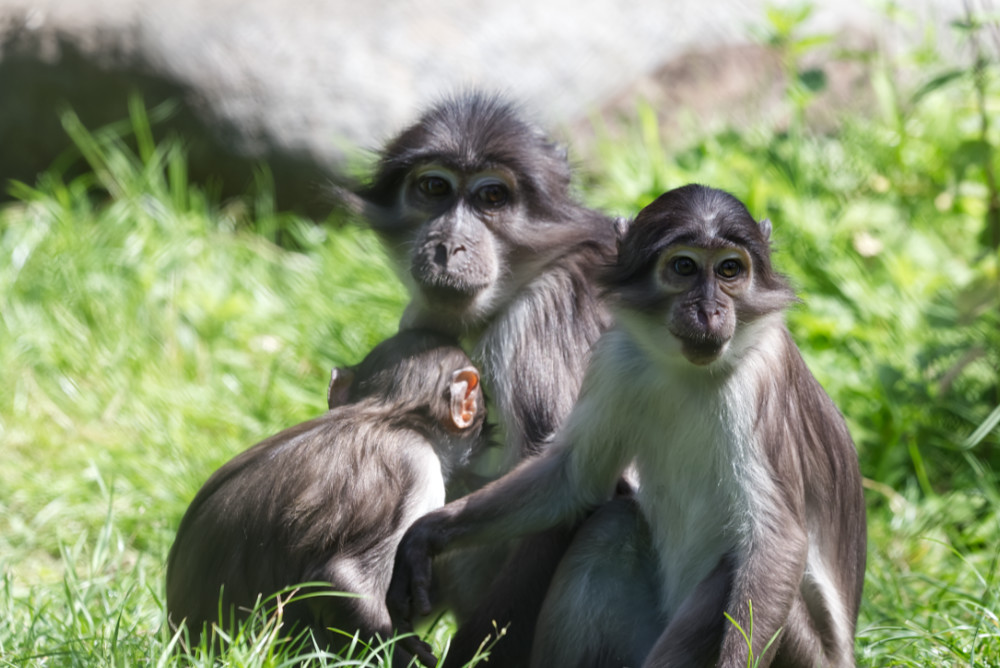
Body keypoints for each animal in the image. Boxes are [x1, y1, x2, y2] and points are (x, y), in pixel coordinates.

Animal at [390, 184, 868, 668]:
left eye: (730, 269)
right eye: (684, 267)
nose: (710, 310)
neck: (688, 371)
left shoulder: (761, 373)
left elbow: (778, 543)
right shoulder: (617, 358)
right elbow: (573, 479)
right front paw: (425, 537)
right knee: (612, 526)